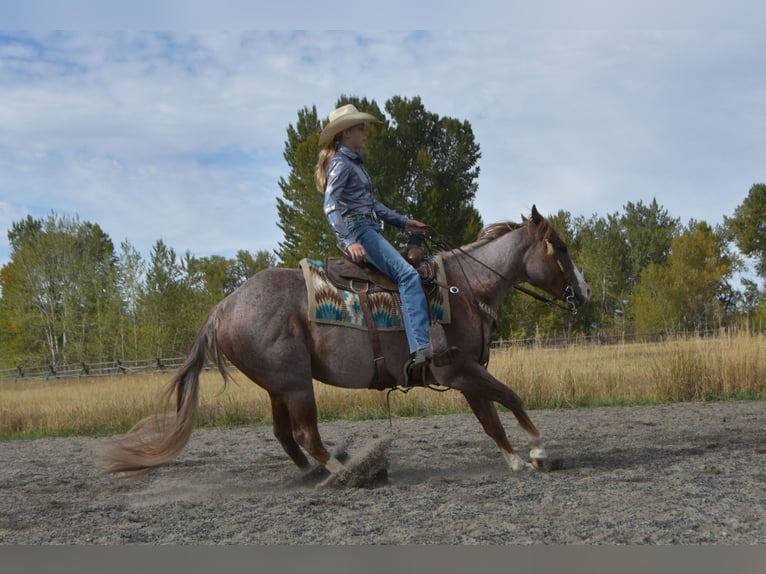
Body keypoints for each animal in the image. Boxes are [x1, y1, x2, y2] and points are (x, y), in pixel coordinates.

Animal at [102, 205, 590, 478]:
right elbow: (512, 397)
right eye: (562, 248)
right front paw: (538, 451)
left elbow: (491, 419)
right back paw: (343, 471)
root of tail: (223, 306)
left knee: (285, 434)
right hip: (297, 385)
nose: (584, 292)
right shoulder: (460, 371)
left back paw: (311, 472)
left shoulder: (466, 376)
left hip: (280, 386)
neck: (462, 289)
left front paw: (517, 459)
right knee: (305, 432)